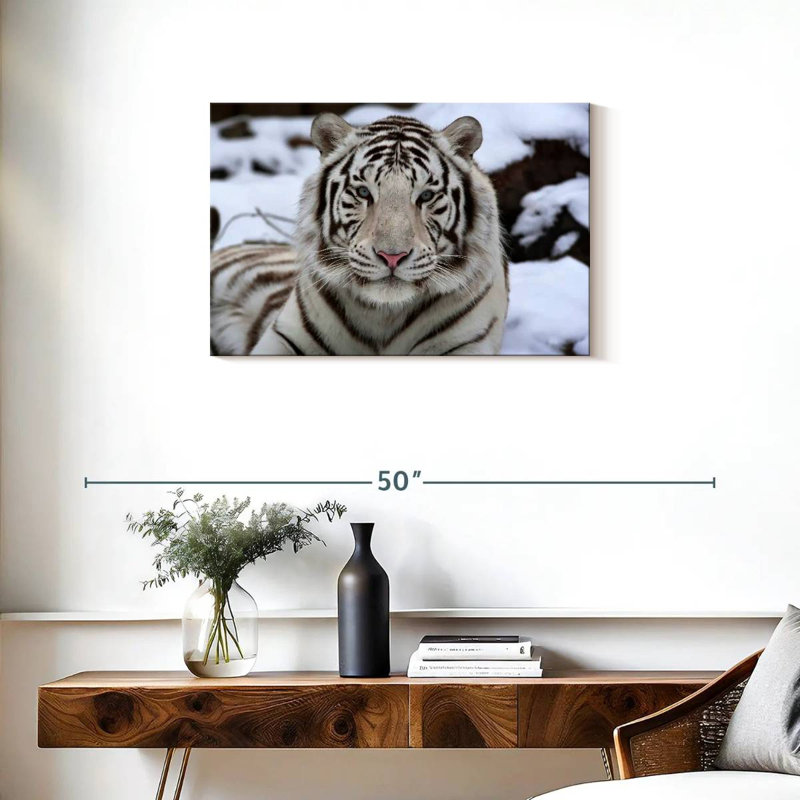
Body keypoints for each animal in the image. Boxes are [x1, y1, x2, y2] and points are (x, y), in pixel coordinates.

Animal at [211, 113, 508, 356]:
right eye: (364, 192)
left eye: (425, 196)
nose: (392, 256)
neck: (384, 315)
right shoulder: (285, 339)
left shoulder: (465, 345)